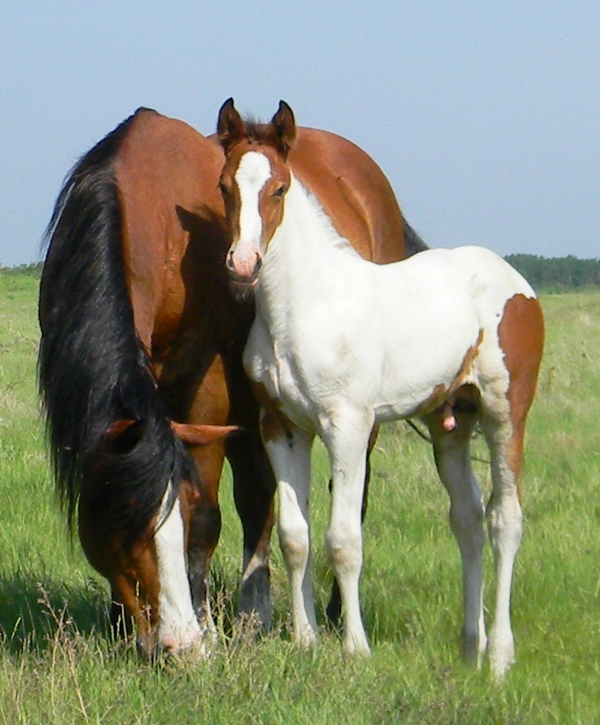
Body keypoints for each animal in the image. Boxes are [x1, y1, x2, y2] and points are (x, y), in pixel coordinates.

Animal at [38, 106, 422, 656]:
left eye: (179, 511)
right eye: (126, 517)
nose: (177, 645)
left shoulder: (210, 395)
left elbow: (209, 520)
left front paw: (205, 627)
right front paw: (120, 626)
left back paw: (309, 614)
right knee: (261, 496)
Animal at [217, 98, 545, 679]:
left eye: (278, 188)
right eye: (224, 186)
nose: (242, 265)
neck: (303, 306)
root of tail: (515, 281)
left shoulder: (347, 427)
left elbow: (343, 540)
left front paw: (355, 648)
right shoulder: (282, 427)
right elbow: (294, 537)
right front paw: (306, 641)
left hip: (506, 413)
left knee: (505, 521)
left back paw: (499, 658)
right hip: (450, 424)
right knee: (468, 521)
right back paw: (470, 646)